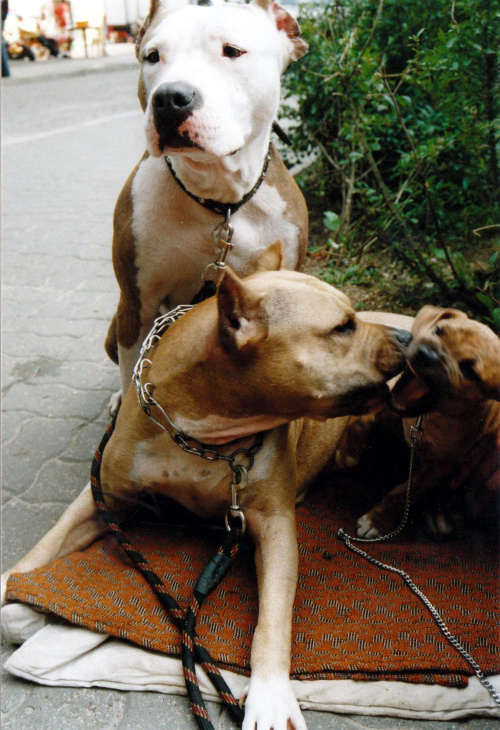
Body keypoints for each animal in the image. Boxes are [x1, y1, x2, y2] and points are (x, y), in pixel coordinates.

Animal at [0, 245, 410, 728]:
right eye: (343, 326)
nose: (409, 337)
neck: (205, 435)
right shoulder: (107, 496)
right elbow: (44, 547)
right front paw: (11, 587)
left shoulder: (275, 527)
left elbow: (272, 620)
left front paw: (271, 695)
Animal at [356, 304, 500, 536]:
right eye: (438, 330)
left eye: (469, 370)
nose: (426, 355)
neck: (426, 417)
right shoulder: (392, 409)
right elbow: (369, 417)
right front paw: (350, 447)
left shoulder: (437, 466)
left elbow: (406, 492)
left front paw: (376, 520)